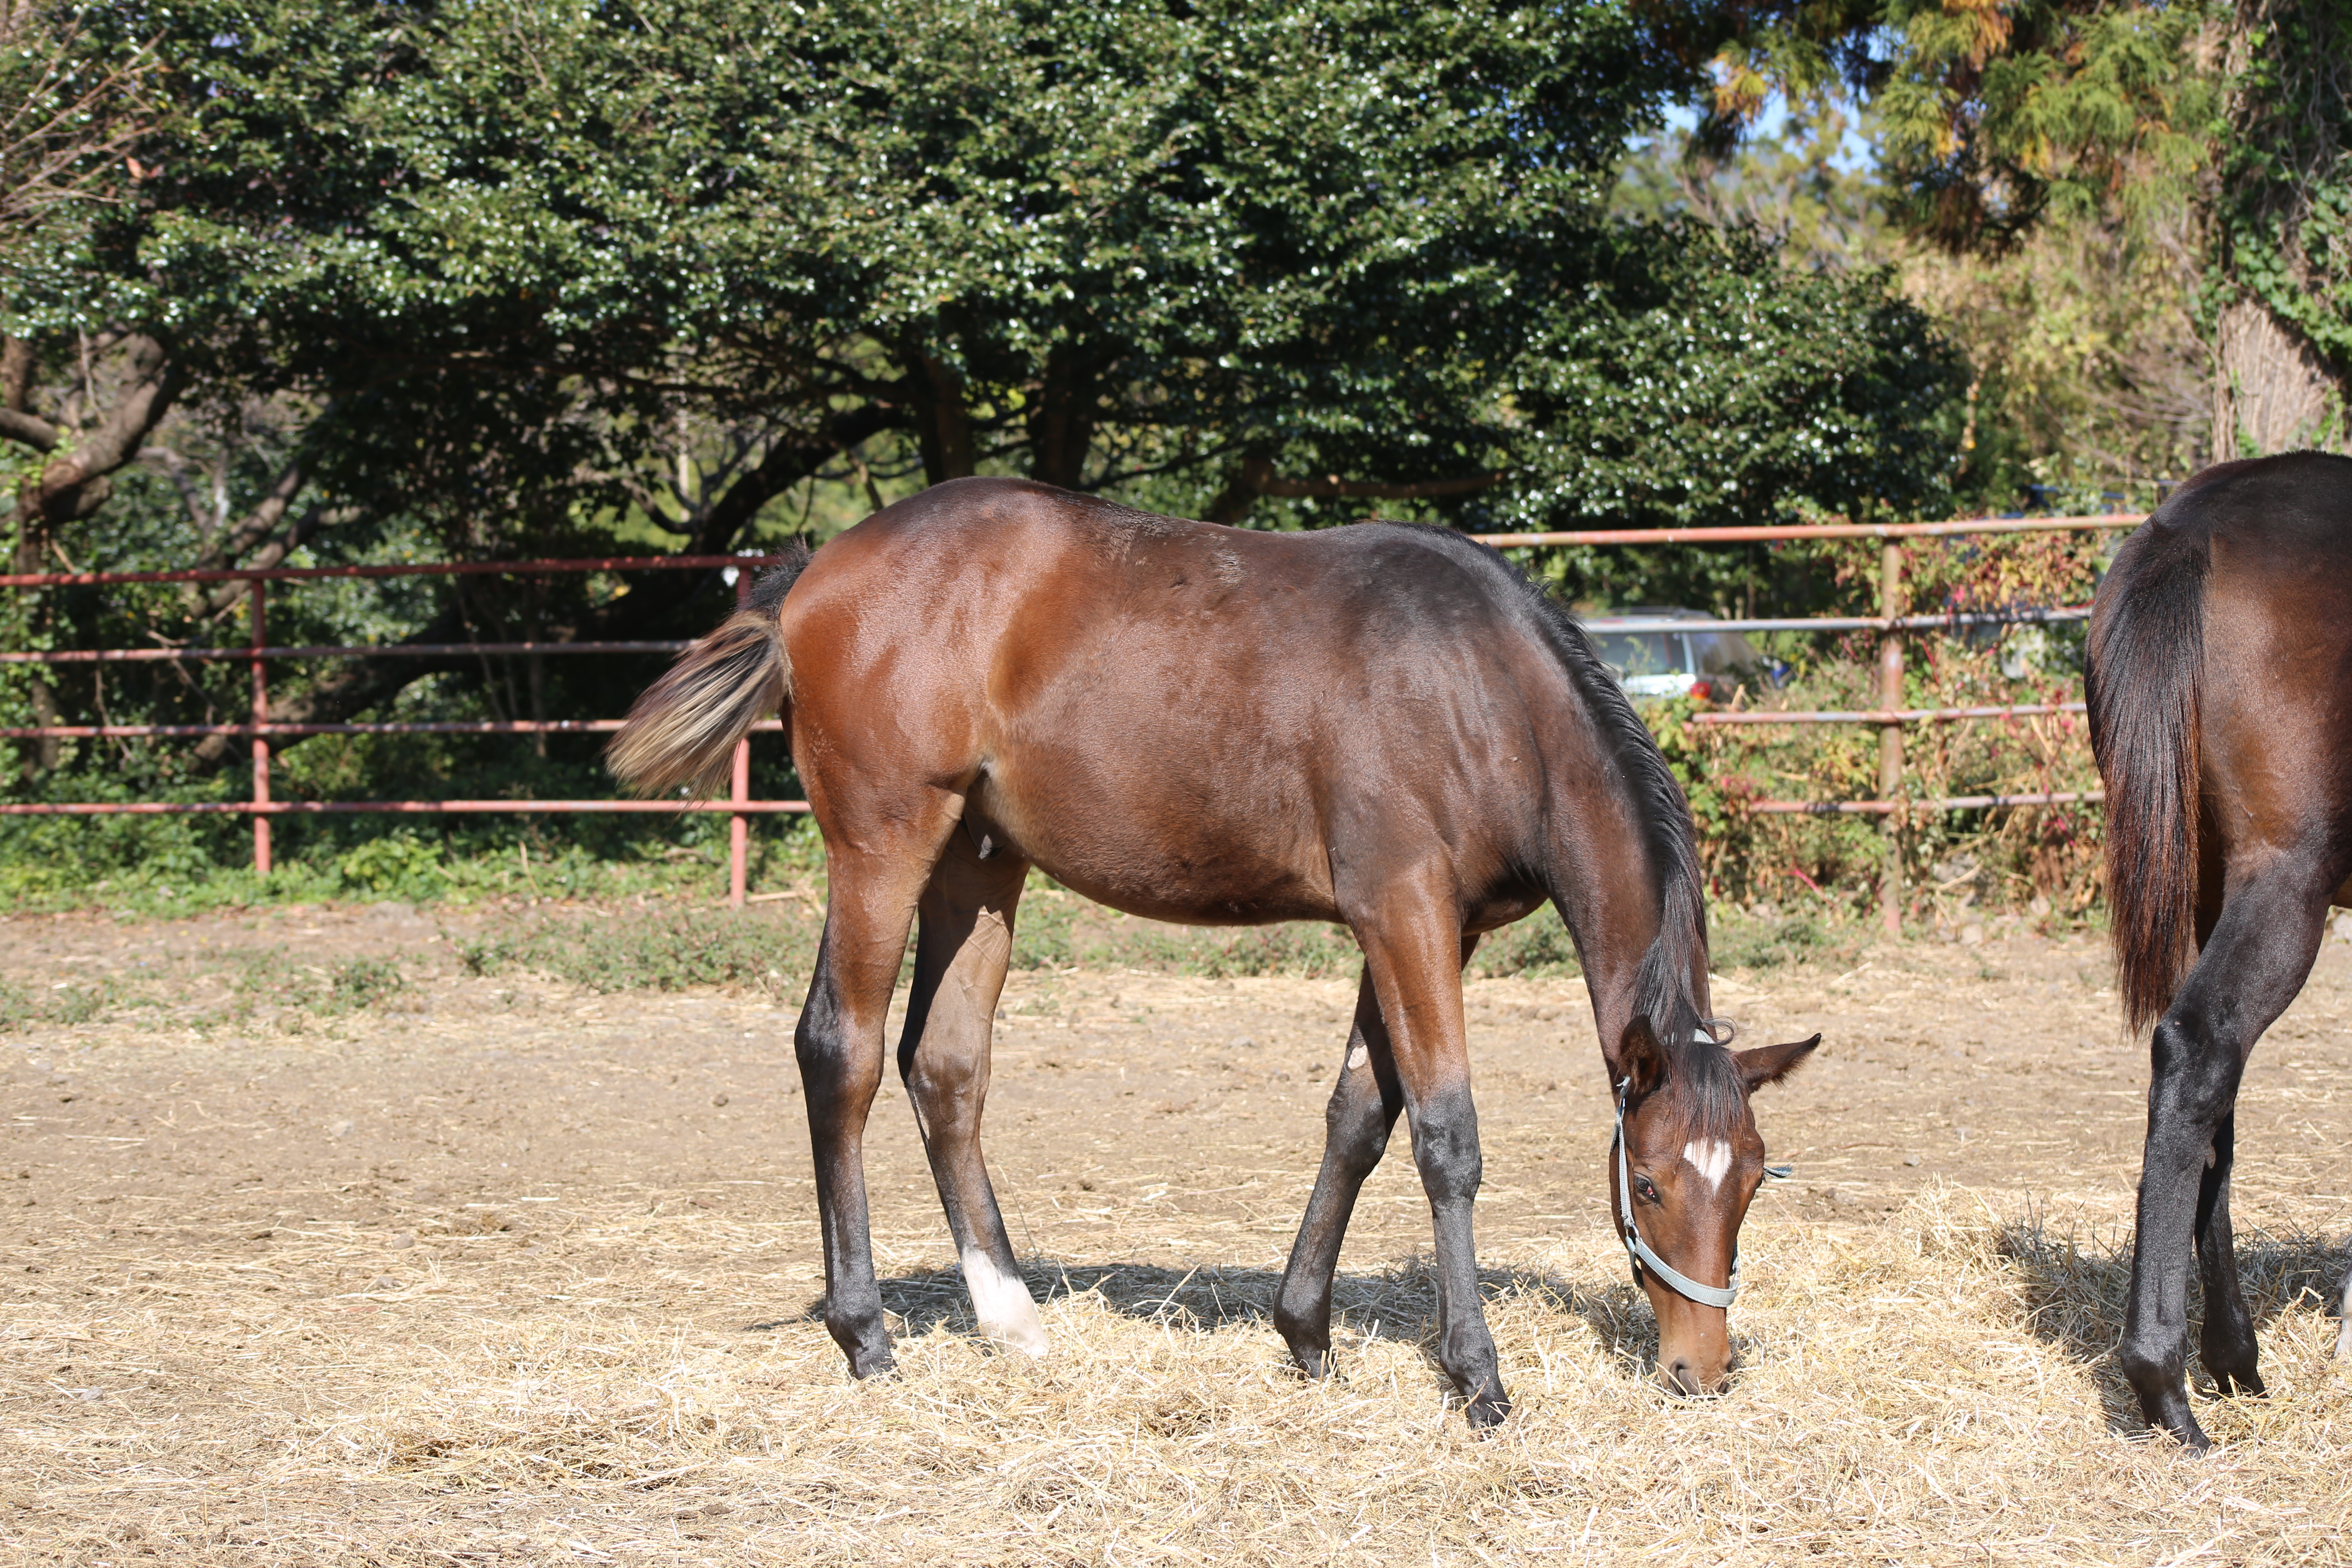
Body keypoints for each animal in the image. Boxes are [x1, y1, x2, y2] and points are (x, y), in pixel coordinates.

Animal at [607, 479, 1815, 1420]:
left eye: (1754, 1178)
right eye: (1647, 1183)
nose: (1699, 1370)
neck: (1487, 694)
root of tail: (814, 570)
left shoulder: (1428, 927)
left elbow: (1357, 1118)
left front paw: (1306, 1334)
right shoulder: (1404, 911)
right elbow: (1444, 1135)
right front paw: (1474, 1376)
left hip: (979, 861)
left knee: (943, 1066)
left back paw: (1011, 1319)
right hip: (882, 842)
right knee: (843, 1051)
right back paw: (864, 1335)